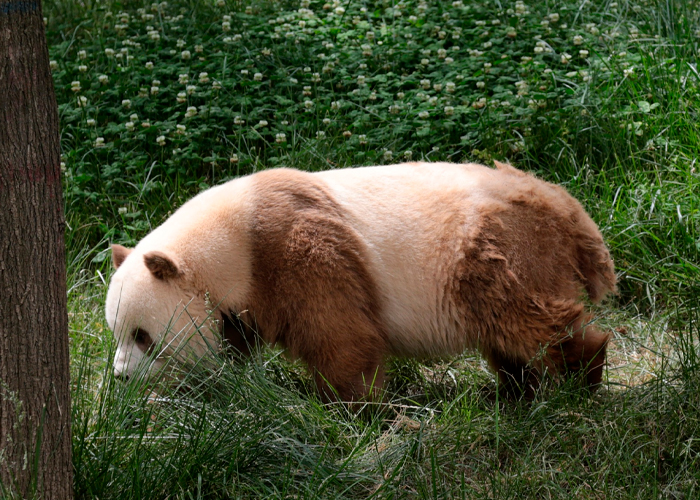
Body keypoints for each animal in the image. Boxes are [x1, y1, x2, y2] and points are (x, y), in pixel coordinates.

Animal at [106, 162, 616, 400]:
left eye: (143, 335)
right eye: (117, 333)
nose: (121, 377)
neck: (232, 238)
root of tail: (568, 207)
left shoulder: (295, 249)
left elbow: (340, 334)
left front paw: (348, 406)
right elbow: (233, 345)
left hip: (495, 246)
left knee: (528, 316)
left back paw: (579, 379)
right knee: (506, 333)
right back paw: (516, 392)